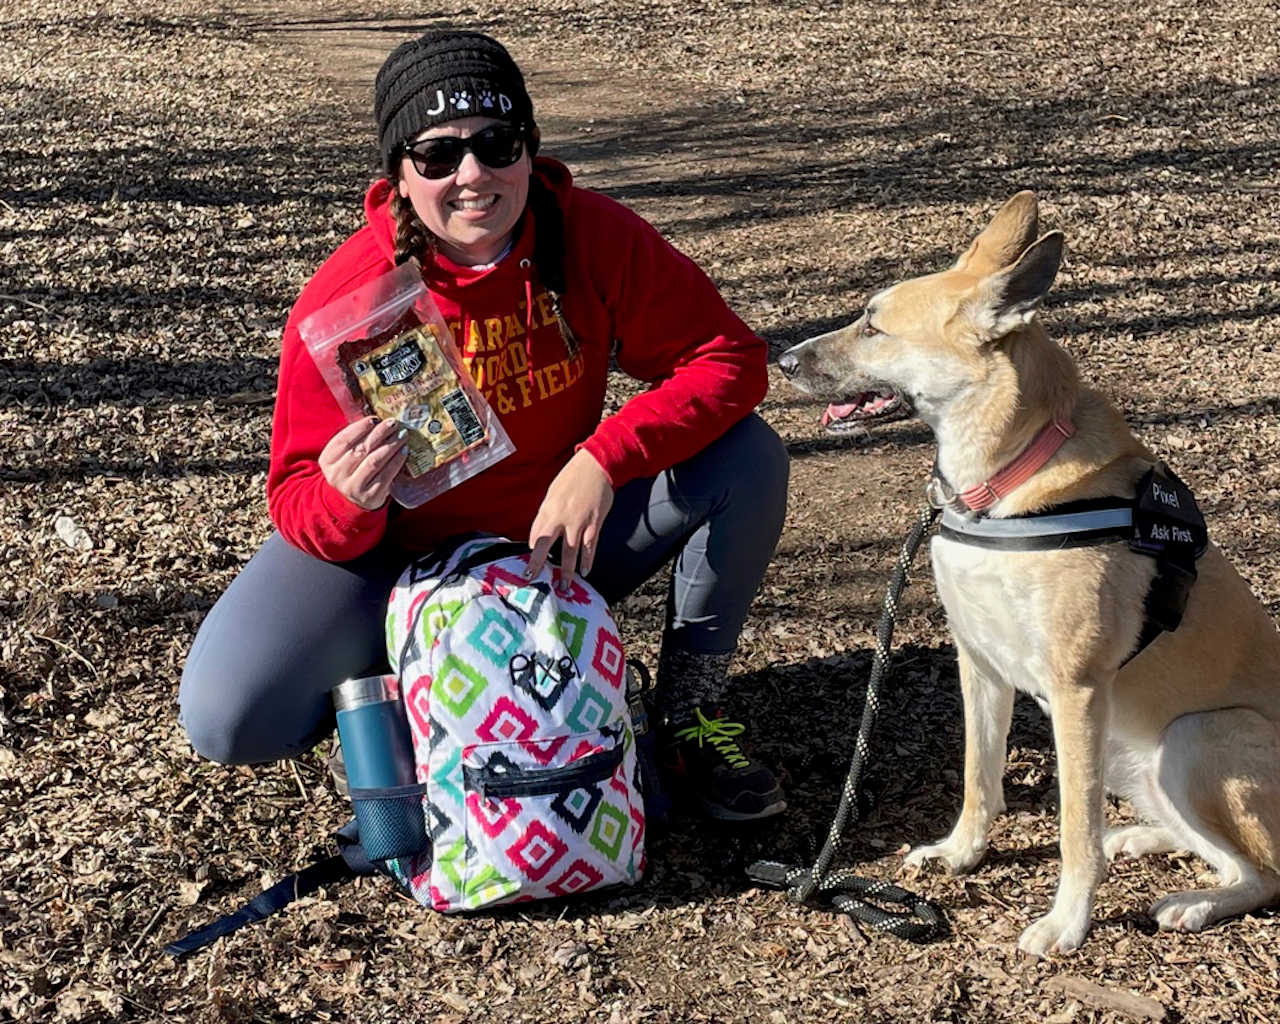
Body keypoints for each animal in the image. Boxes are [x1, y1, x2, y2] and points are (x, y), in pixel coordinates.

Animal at [773, 194, 1280, 962]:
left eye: (874, 324)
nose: (782, 359)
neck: (1008, 479)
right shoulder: (979, 664)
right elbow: (979, 778)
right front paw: (961, 854)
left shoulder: (1075, 692)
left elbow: (1074, 833)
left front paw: (1067, 924)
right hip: (1137, 756)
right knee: (1210, 848)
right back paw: (1145, 840)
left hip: (1193, 738)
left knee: (1263, 873)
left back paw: (1193, 903)